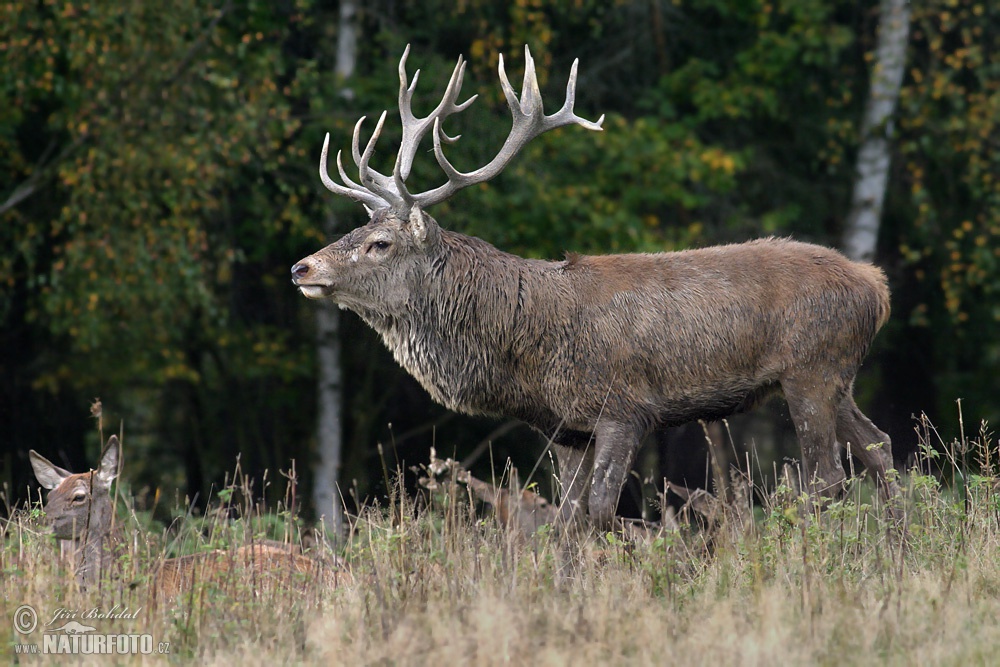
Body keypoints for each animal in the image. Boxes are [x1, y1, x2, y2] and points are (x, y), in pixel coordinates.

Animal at [292, 44, 900, 528]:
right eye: (354, 230)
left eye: (380, 243)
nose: (302, 268)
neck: (523, 347)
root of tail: (877, 286)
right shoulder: (566, 429)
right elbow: (566, 519)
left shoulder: (623, 408)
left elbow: (602, 512)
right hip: (837, 375)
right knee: (880, 447)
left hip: (811, 367)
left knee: (828, 478)